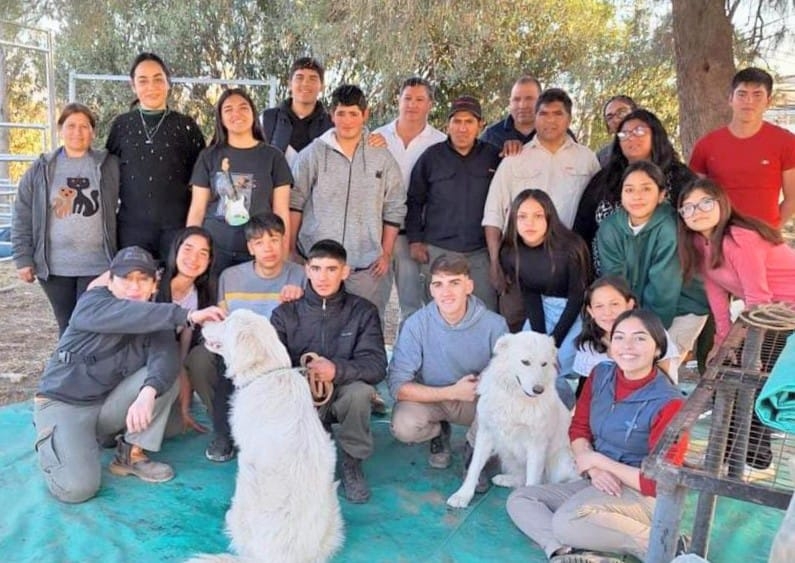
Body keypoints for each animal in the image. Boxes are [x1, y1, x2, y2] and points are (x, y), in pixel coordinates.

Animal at [447, 331, 578, 508]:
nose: (539, 390)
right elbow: (474, 467)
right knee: (521, 477)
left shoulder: (536, 444)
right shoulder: (486, 433)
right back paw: (505, 479)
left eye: (544, 364)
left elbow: (532, 481)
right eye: (525, 362)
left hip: (561, 459)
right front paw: (463, 495)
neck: (516, 398)